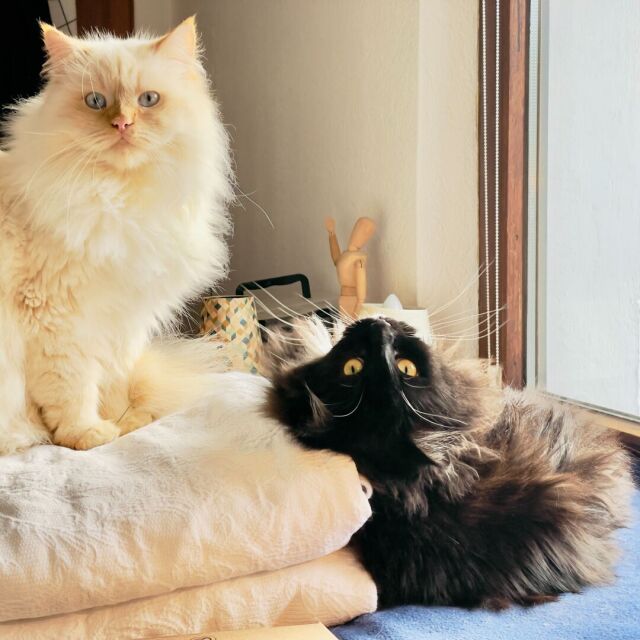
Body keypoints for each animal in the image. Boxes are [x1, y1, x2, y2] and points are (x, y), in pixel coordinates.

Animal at [0, 18, 233, 454]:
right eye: (95, 101)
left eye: (148, 100)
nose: (123, 124)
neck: (117, 200)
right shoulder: (58, 319)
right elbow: (72, 391)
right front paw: (88, 435)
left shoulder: (122, 324)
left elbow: (115, 386)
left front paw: (127, 422)